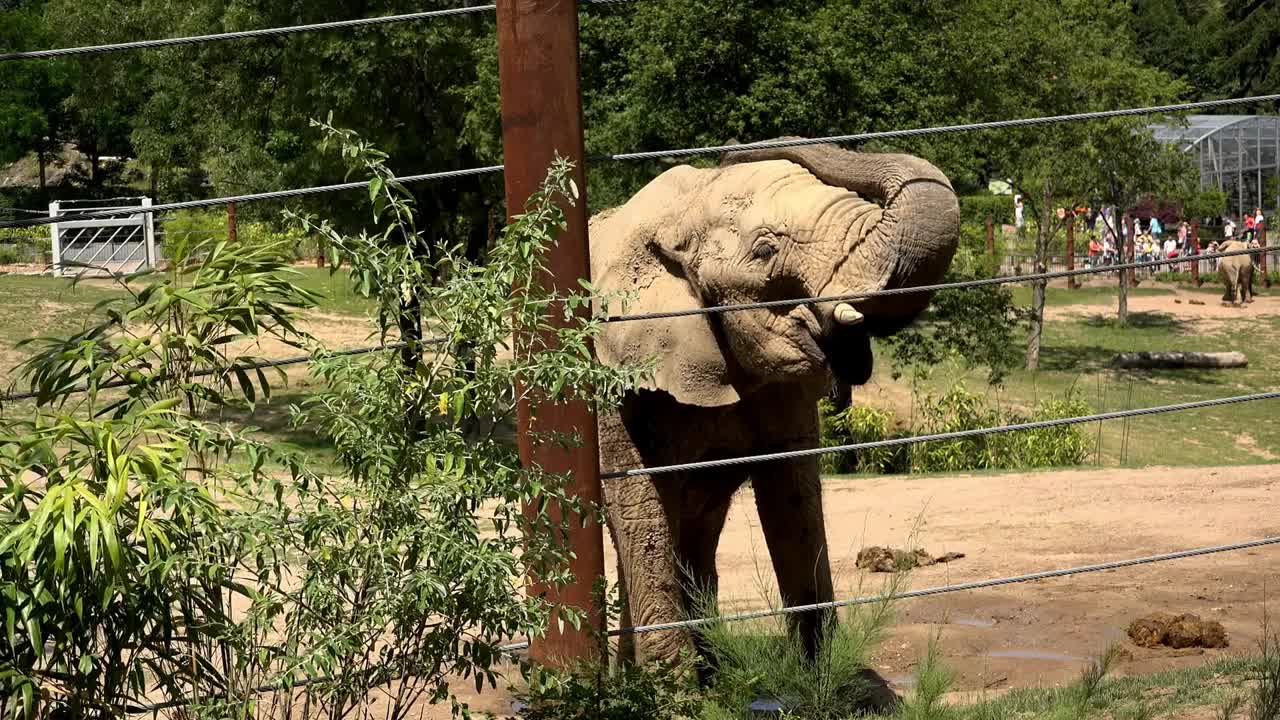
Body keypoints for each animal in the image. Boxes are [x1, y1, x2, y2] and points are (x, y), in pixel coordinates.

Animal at [588, 139, 962, 666]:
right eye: (765, 250)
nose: (729, 150)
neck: (675, 213)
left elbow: (793, 493)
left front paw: (820, 675)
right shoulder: (609, 371)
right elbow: (638, 500)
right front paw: (673, 688)